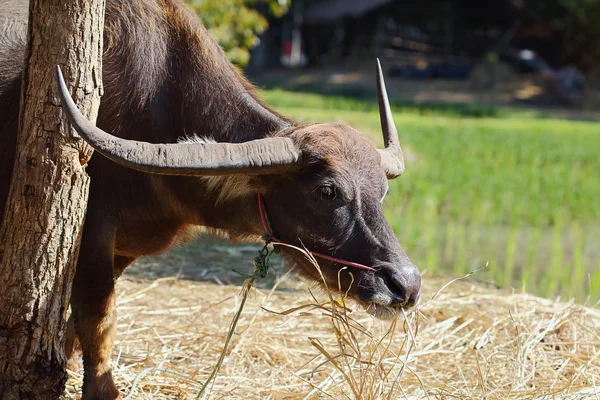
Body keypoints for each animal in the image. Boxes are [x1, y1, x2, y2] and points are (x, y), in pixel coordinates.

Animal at [1, 0, 422, 396]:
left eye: (382, 192)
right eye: (327, 191)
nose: (406, 285)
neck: (157, 109)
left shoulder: (122, 249)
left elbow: (79, 324)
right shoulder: (92, 232)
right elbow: (97, 319)